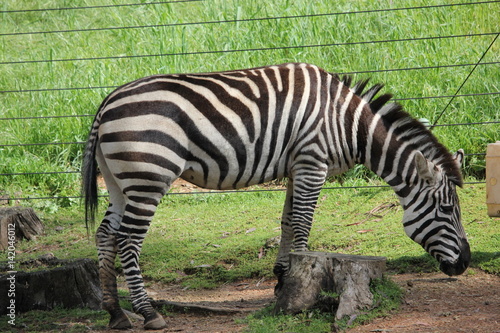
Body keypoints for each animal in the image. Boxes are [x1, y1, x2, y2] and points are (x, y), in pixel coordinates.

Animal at [83, 62, 472, 330]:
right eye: (446, 209)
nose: (466, 263)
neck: (348, 124)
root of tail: (107, 102)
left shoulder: (295, 167)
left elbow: (286, 222)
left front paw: (282, 280)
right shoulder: (312, 162)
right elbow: (302, 223)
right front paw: (297, 291)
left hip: (120, 179)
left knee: (105, 234)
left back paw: (116, 313)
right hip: (149, 174)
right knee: (128, 239)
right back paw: (148, 313)